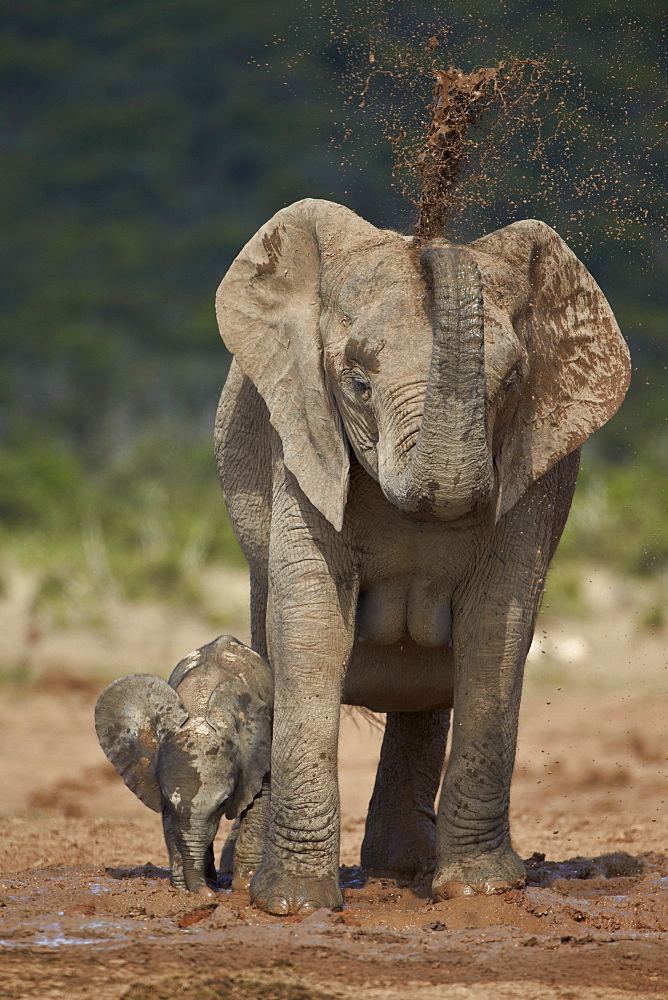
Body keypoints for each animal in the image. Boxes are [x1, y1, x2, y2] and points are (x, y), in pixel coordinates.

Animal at [94, 636, 272, 896]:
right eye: (168, 800)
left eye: (223, 803)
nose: (209, 895)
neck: (199, 710)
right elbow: (171, 823)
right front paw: (181, 891)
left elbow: (260, 799)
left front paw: (243, 886)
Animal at [215, 199, 632, 916]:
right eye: (356, 382)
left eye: (513, 381)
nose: (430, 241)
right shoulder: (300, 437)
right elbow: (312, 625)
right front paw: (295, 905)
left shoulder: (533, 466)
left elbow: (496, 627)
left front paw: (480, 890)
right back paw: (249, 880)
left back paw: (403, 869)